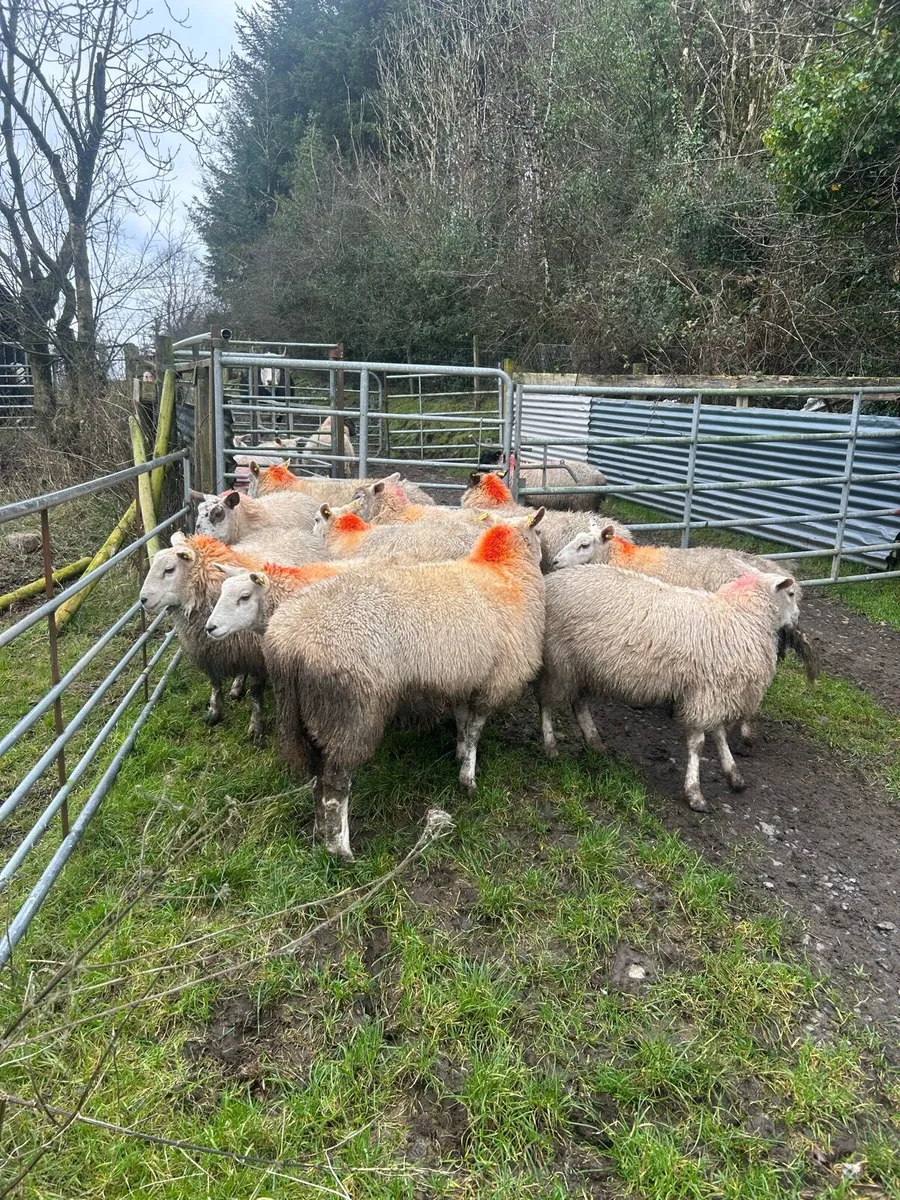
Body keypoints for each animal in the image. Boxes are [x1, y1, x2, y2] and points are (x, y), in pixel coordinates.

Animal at [139, 534, 269, 741]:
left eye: (169, 569)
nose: (142, 599)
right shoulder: (207, 650)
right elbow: (214, 683)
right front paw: (214, 713)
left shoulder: (255, 655)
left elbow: (256, 694)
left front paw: (256, 727)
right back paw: (236, 687)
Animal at [265, 511, 547, 860]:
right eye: (538, 532)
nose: (548, 558)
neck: (507, 572)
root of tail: (289, 644)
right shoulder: (494, 681)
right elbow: (474, 732)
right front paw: (468, 779)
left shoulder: (462, 677)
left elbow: (462, 723)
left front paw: (458, 755)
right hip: (350, 714)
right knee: (334, 787)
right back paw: (341, 851)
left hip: (309, 717)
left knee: (317, 778)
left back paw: (320, 832)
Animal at [537, 565, 800, 812]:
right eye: (791, 593)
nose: (797, 619)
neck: (742, 615)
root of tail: (549, 581)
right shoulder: (706, 693)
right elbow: (699, 744)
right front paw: (695, 794)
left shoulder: (712, 691)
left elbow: (719, 735)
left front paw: (734, 776)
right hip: (559, 661)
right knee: (546, 703)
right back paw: (551, 747)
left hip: (583, 667)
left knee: (578, 703)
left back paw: (595, 742)